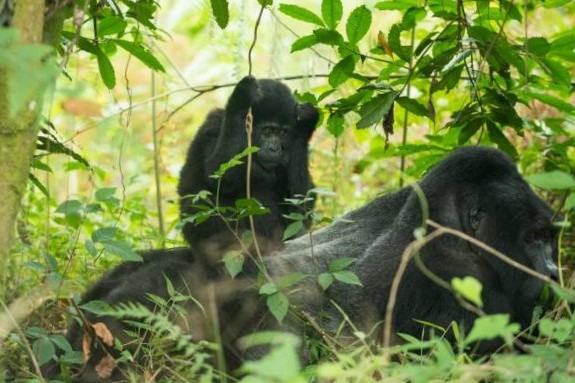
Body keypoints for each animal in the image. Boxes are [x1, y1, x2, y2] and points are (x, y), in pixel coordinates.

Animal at [178, 76, 320, 266]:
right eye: (267, 131)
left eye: (283, 133)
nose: (274, 149)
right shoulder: (212, 124)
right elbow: (219, 174)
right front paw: (241, 98)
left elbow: (302, 205)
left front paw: (306, 124)